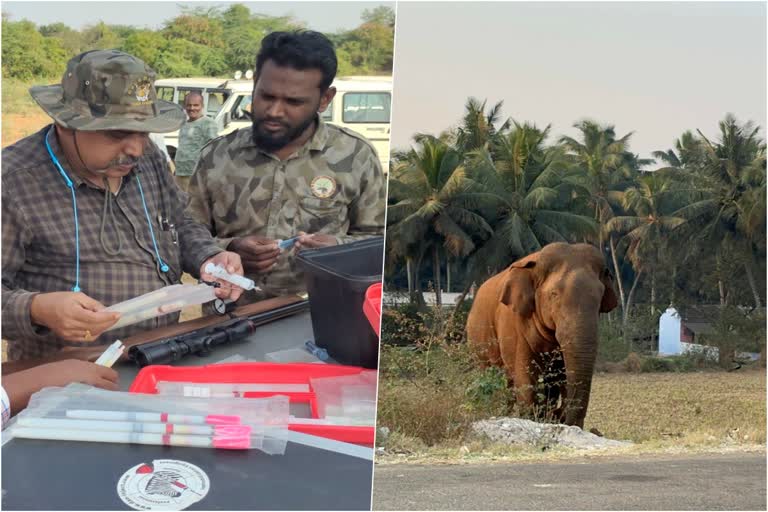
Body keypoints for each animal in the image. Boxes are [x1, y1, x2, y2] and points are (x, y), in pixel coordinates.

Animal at [462, 243, 616, 428]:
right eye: (554, 294)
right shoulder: (513, 322)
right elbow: (525, 375)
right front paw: (532, 419)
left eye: (600, 297)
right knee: (497, 379)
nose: (562, 417)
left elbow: (561, 376)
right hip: (477, 342)